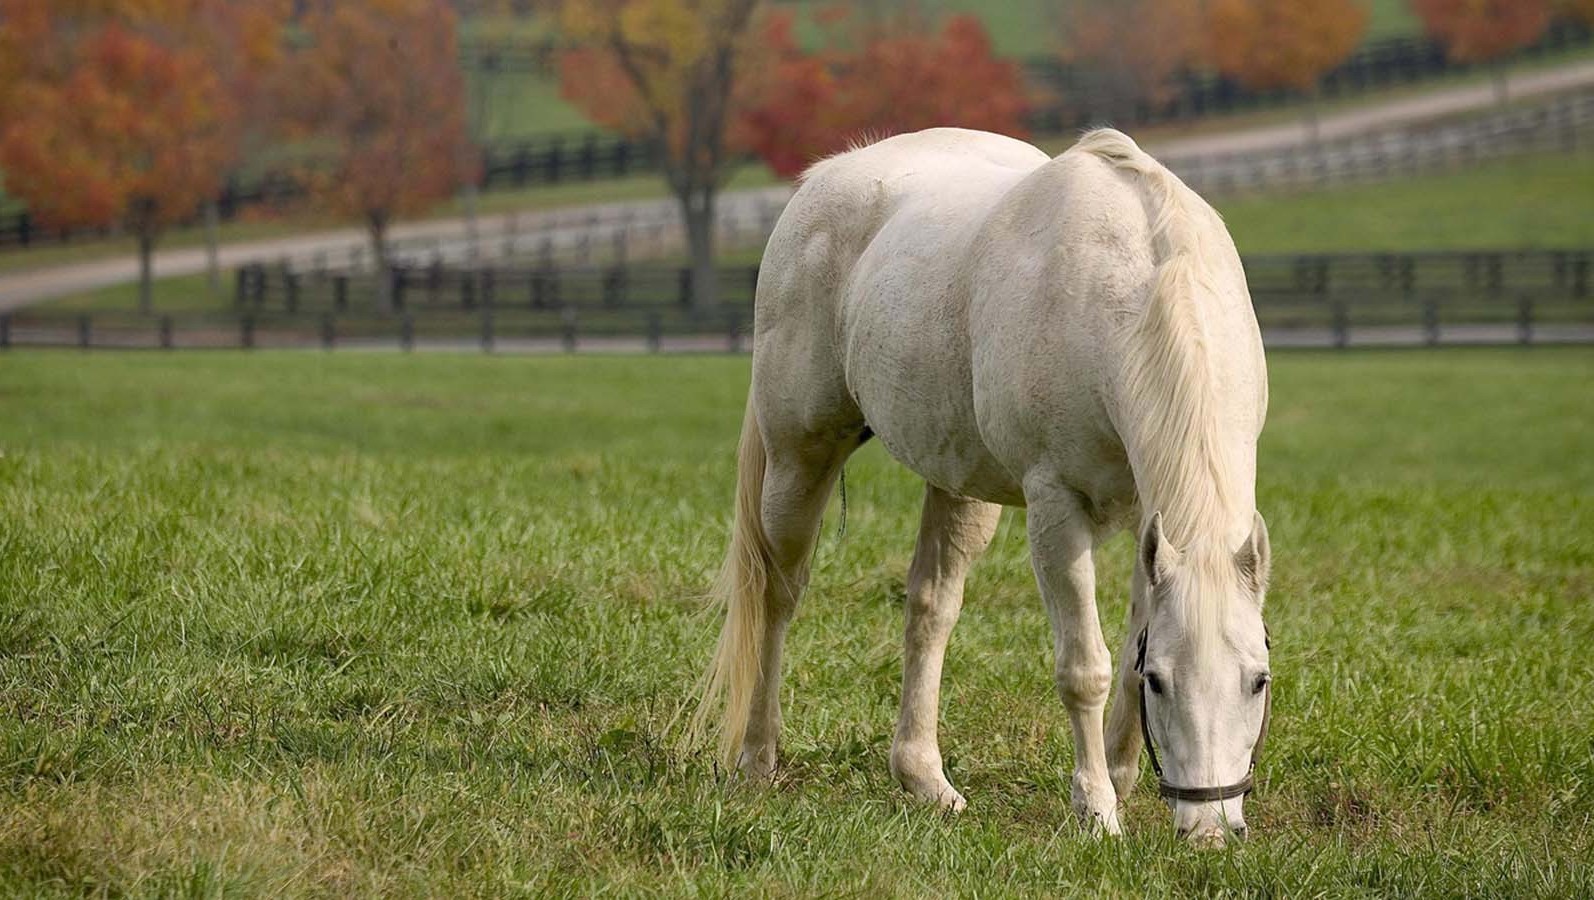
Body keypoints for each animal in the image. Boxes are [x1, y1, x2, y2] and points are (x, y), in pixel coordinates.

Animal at [692, 127, 1272, 846]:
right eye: (1163, 684)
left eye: (1259, 681)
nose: (1211, 828)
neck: (1136, 291)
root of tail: (823, 178)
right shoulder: (1056, 509)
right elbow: (1085, 667)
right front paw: (1097, 810)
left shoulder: (1151, 520)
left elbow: (1124, 647)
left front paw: (1120, 777)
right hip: (799, 458)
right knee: (777, 595)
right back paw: (758, 758)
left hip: (958, 485)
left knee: (930, 607)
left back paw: (924, 779)